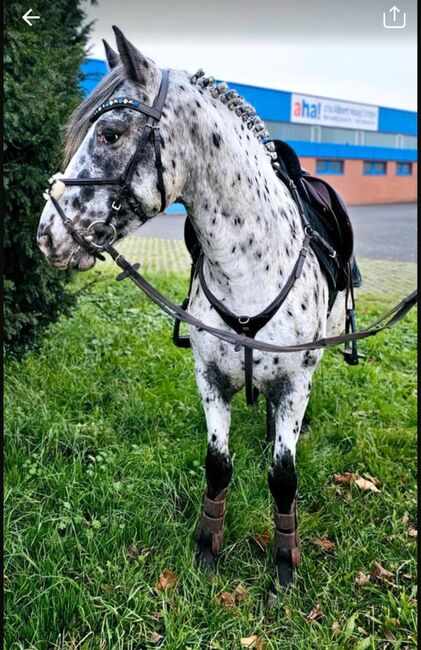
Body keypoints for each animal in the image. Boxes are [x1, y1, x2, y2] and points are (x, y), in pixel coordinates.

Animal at [37, 25, 344, 584]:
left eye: (110, 133)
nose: (48, 235)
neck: (249, 270)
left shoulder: (294, 382)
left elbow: (284, 477)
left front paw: (283, 566)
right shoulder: (210, 378)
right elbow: (217, 466)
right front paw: (207, 551)